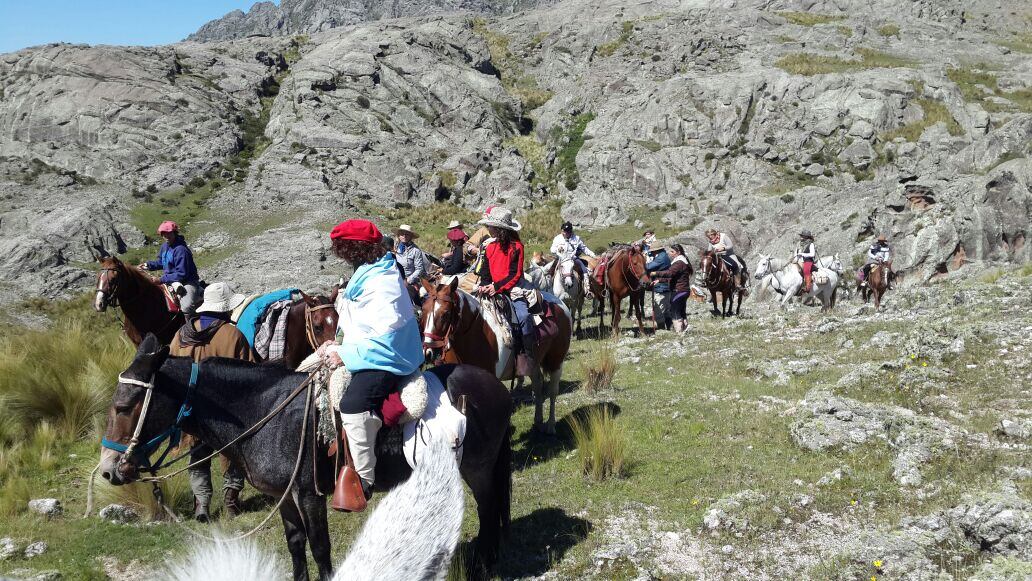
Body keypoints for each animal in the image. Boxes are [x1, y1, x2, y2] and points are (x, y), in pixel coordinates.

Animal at [100, 336, 511, 581]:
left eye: (125, 405)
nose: (108, 471)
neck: (267, 413)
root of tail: (492, 384)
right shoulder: (282, 497)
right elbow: (296, 544)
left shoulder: (308, 494)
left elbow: (319, 547)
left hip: (478, 468)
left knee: (488, 506)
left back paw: (486, 562)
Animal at [416, 278, 573, 433]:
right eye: (422, 311)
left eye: (446, 314)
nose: (428, 352)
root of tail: (559, 303)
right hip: (533, 364)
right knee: (537, 385)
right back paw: (538, 421)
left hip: (556, 361)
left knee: (553, 391)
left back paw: (551, 426)